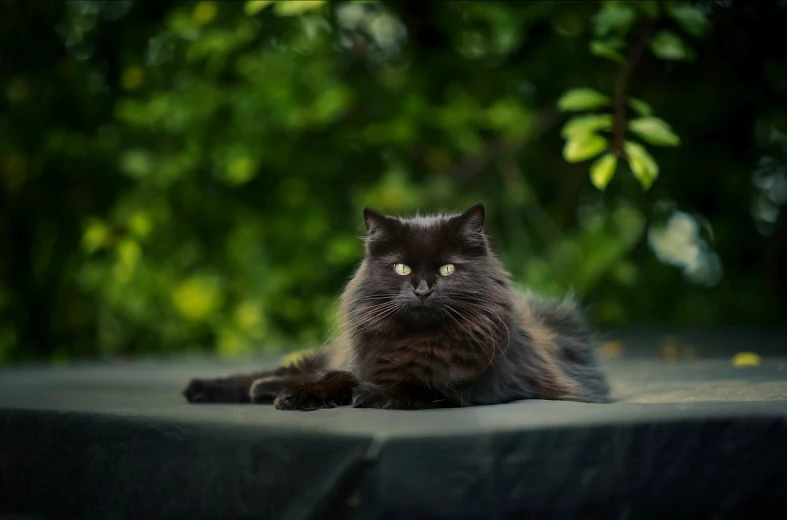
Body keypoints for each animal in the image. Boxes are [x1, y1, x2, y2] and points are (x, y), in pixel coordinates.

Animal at [183, 203, 608, 410]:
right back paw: (214, 388)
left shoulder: (466, 386)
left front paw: (370, 396)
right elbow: (336, 379)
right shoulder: (361, 362)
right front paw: (299, 398)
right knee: (284, 372)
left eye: (447, 269)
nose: (421, 290)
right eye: (402, 268)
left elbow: (416, 385)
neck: (414, 340)